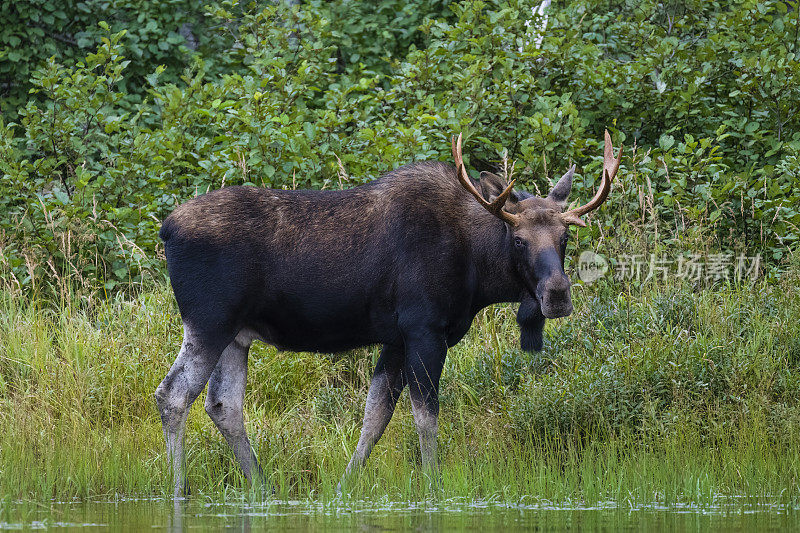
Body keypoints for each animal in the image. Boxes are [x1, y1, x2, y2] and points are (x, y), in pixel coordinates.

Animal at [153, 129, 620, 494]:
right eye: (519, 240)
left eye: (564, 237)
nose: (557, 294)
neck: (477, 269)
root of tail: (165, 229)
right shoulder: (424, 328)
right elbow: (425, 416)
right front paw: (433, 485)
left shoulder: (395, 337)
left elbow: (374, 417)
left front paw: (344, 487)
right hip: (209, 321)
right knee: (173, 393)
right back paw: (179, 489)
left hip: (237, 334)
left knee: (223, 404)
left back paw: (263, 487)